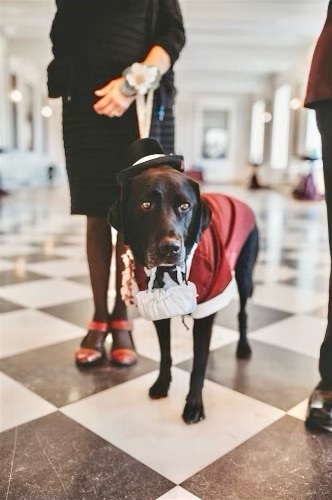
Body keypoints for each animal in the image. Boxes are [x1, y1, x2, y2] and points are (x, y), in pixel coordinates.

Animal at [109, 139, 260, 424]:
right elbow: (166, 352)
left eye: (185, 206)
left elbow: (198, 363)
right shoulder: (157, 309)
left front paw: (194, 404)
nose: (171, 248)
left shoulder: (210, 299)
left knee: (244, 313)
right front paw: (162, 384)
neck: (168, 272)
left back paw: (244, 347)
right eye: (146, 205)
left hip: (244, 275)